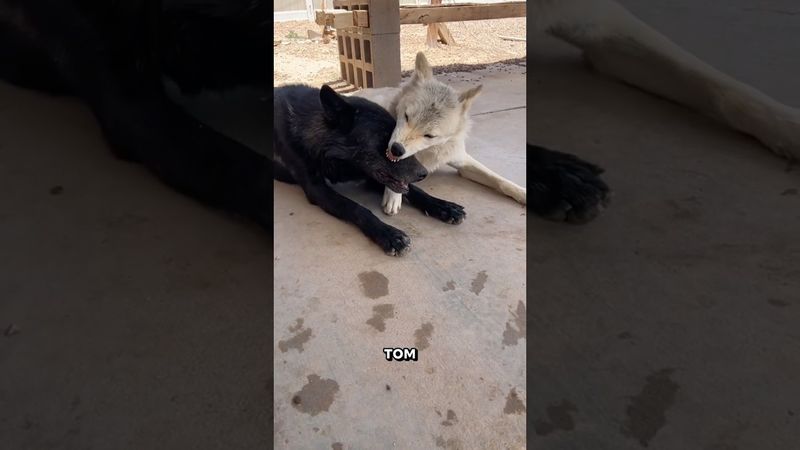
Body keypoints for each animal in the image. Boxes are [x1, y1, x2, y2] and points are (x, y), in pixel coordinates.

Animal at [274, 84, 469, 255]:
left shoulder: (369, 175)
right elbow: (355, 207)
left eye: (396, 139)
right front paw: (389, 234)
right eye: (389, 144)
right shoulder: (317, 190)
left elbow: (415, 191)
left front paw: (444, 206)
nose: (423, 174)